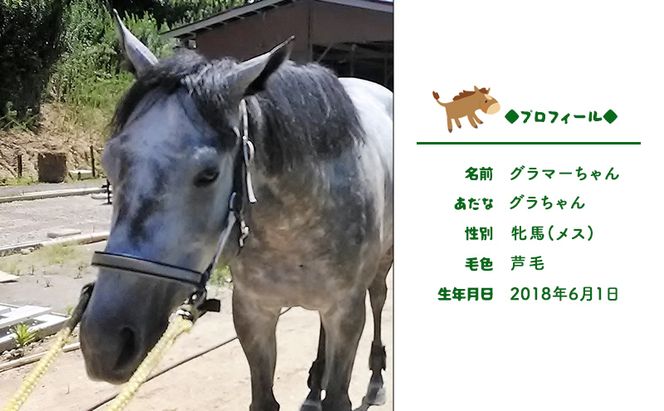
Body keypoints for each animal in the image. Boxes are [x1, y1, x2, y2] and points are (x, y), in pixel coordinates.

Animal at [79, 12, 393, 411]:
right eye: (110, 160)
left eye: (208, 174)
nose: (104, 343)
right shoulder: (253, 313)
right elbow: (263, 397)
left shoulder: (347, 312)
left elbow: (339, 395)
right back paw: (312, 388)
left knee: (379, 298)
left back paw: (376, 379)